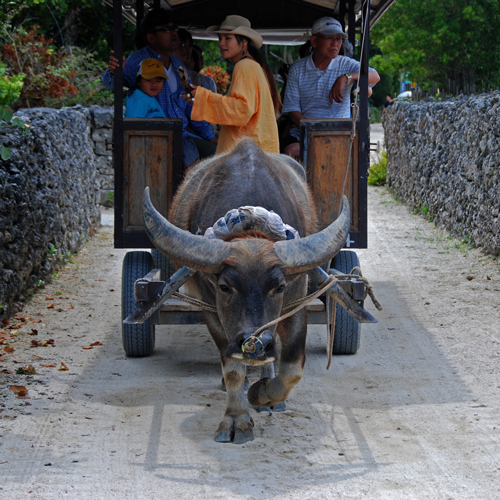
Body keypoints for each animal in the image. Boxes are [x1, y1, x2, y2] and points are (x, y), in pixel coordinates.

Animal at [143, 139, 350, 444]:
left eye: (279, 286)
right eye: (225, 287)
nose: (256, 343)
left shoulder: (296, 297)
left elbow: (292, 368)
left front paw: (263, 394)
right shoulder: (211, 308)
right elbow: (232, 370)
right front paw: (236, 420)